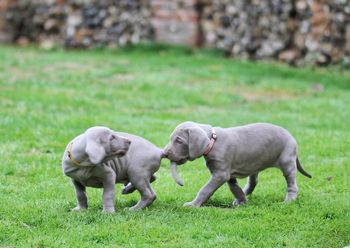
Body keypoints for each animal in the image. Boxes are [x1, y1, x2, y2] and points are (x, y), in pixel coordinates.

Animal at [164, 122, 312, 207]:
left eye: (179, 140)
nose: (165, 153)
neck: (213, 141)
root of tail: (291, 136)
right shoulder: (228, 174)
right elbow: (234, 188)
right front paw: (242, 201)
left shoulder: (221, 174)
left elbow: (206, 189)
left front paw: (193, 204)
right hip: (255, 164)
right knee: (253, 182)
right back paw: (246, 194)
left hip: (287, 160)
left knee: (291, 183)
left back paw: (289, 200)